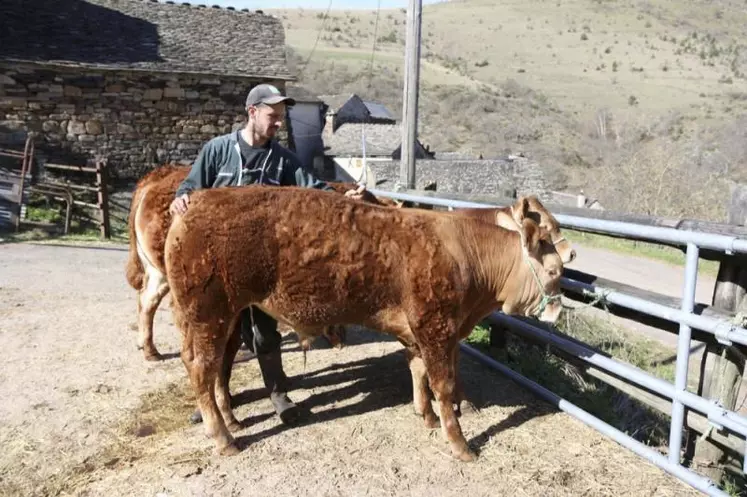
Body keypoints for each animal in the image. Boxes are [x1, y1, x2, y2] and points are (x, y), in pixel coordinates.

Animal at [164, 185, 560, 462]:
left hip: (225, 318)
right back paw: (223, 438)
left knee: (219, 365)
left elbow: (418, 371)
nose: (556, 309)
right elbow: (443, 385)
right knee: (202, 368)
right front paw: (461, 443)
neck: (463, 250)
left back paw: (230, 420)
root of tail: (196, 202)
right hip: (208, 314)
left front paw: (427, 417)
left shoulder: (417, 333)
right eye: (555, 271)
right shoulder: (436, 329)